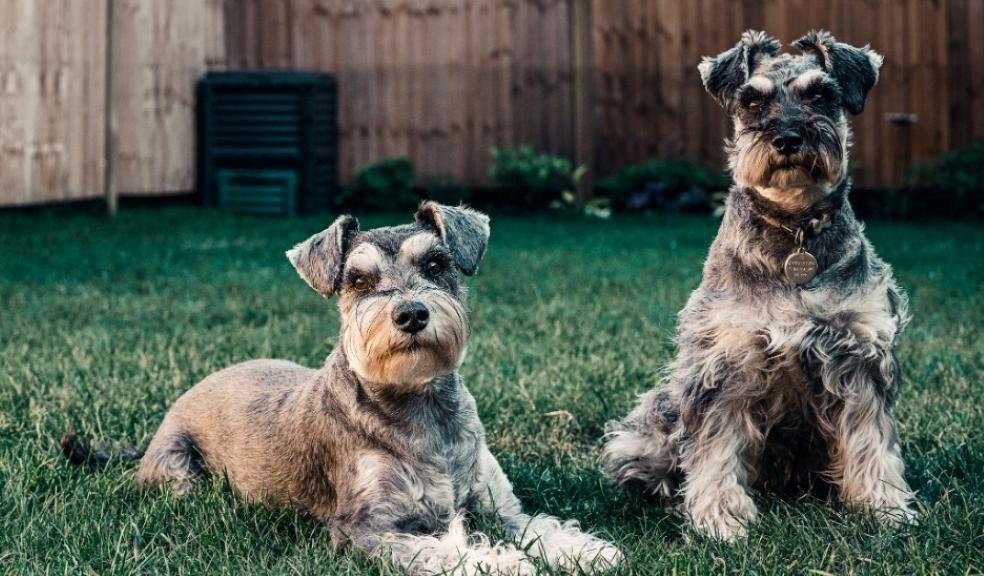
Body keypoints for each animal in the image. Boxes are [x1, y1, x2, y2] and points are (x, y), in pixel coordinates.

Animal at [65, 201, 620, 572]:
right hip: (181, 474)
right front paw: (501, 563)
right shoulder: (365, 528)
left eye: (436, 264)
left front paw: (588, 550)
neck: (423, 410)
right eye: (358, 280)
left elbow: (539, 526)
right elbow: (439, 550)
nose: (410, 313)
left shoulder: (499, 506)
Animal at [600, 31, 916, 544]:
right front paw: (720, 520)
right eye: (751, 101)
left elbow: (871, 440)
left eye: (821, 95)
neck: (794, 229)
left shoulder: (859, 357)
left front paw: (884, 507)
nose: (787, 138)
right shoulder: (725, 363)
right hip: (653, 421)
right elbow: (715, 448)